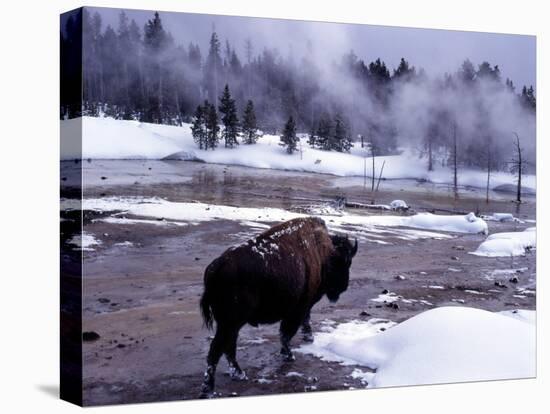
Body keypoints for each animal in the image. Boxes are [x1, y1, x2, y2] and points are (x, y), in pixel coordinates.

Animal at [201, 217, 360, 398]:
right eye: (346, 263)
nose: (343, 287)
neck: (325, 253)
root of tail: (216, 267)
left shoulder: (302, 307)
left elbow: (298, 324)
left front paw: (305, 340)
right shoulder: (299, 307)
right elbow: (287, 332)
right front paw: (289, 355)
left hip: (230, 324)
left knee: (229, 346)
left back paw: (239, 374)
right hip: (230, 323)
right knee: (216, 350)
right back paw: (209, 390)